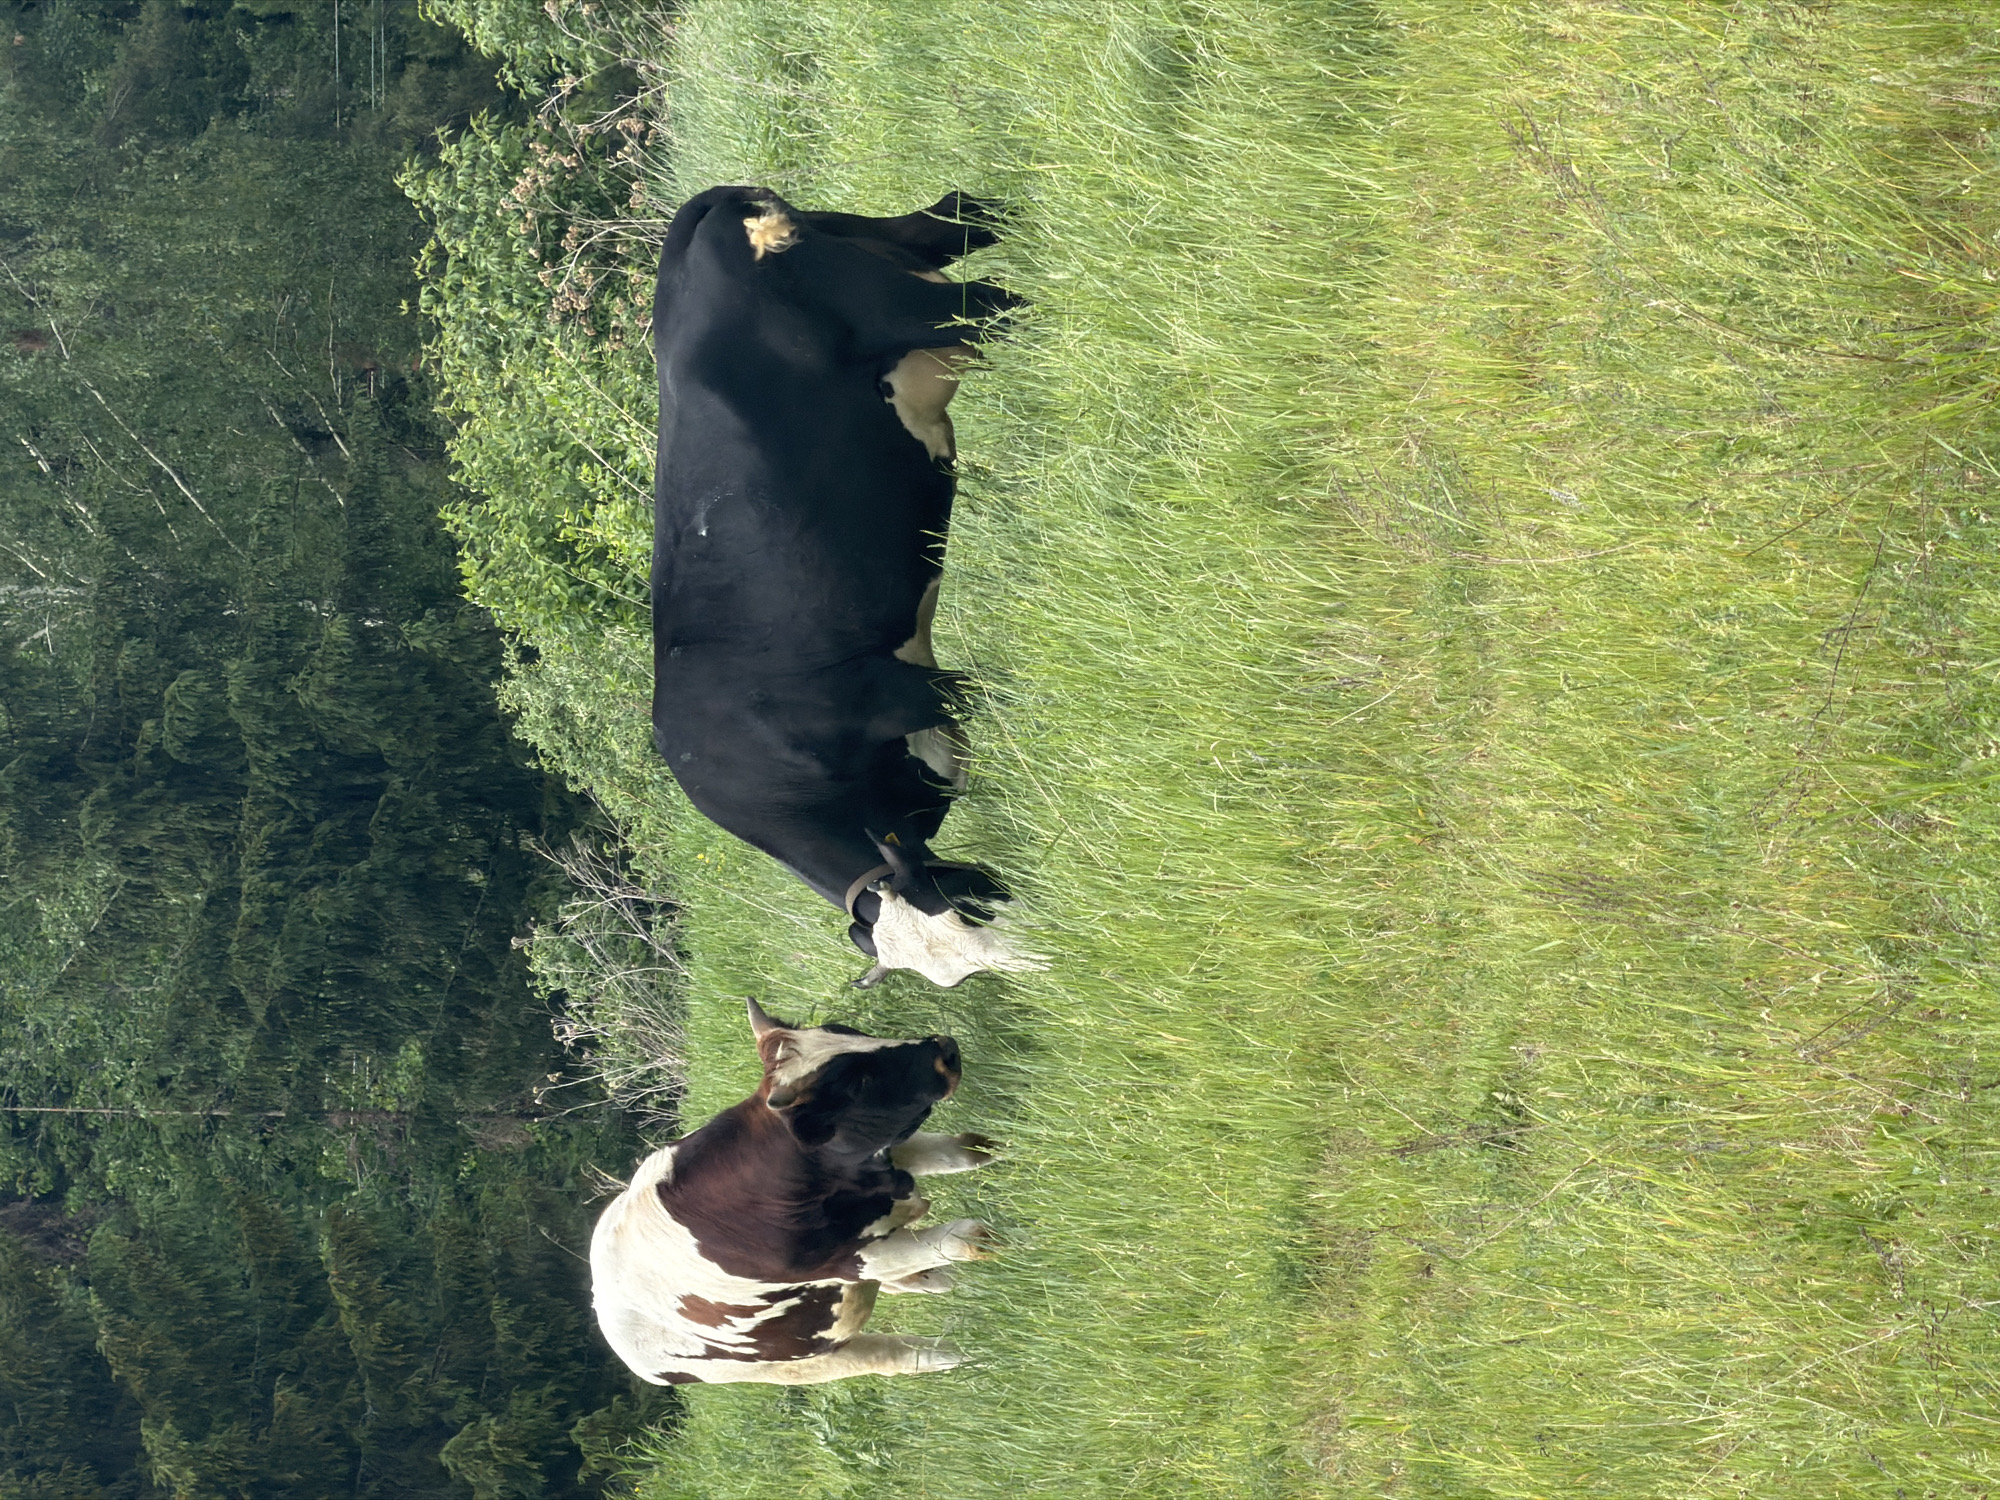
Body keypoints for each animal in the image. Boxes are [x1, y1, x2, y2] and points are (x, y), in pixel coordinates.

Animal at [591, 999, 998, 1384]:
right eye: (857, 1083)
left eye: (849, 1032)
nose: (945, 1051)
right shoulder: (856, 1259)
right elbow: (967, 1238)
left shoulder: (878, 1154)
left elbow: (965, 1150)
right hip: (797, 1362)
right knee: (899, 1356)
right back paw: (973, 1357)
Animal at [650, 185, 1044, 987]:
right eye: (982, 901)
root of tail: (696, 218)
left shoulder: (898, 688)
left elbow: (990, 689)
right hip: (903, 250)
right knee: (963, 214)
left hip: (918, 308)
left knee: (1003, 299)